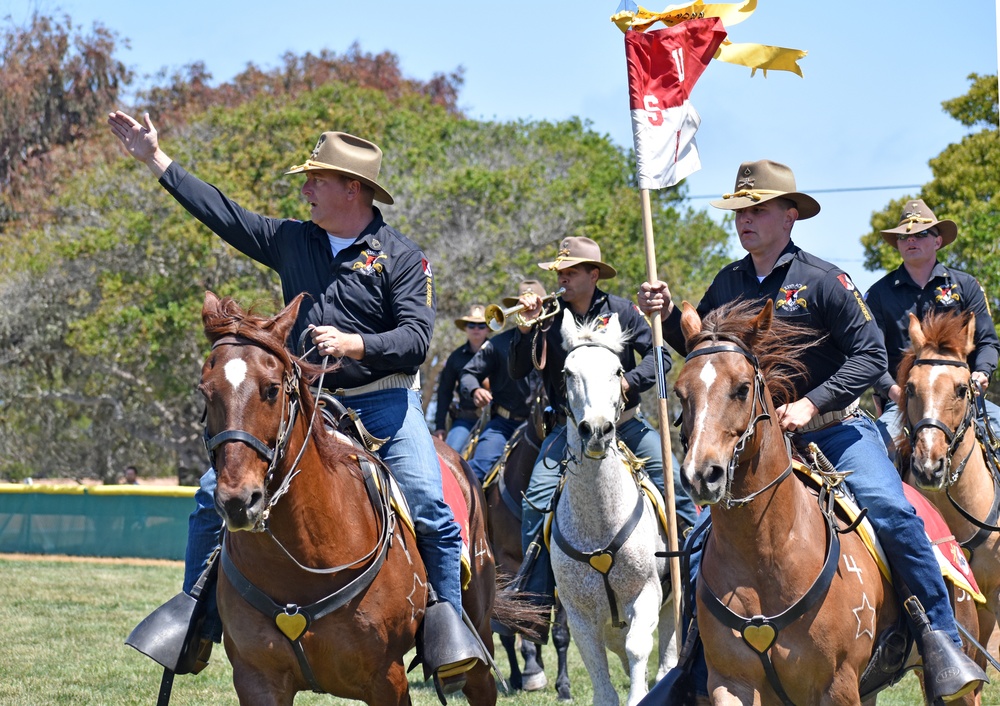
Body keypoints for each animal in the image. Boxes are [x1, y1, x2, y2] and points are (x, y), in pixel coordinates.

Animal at [200, 292, 504, 704]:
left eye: (272, 389)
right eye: (205, 391)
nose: (238, 500)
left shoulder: (386, 681)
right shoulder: (256, 679)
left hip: (479, 640)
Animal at [548, 312, 680, 704]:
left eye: (618, 370)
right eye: (567, 372)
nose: (596, 430)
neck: (599, 524)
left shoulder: (646, 594)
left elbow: (639, 648)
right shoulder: (578, 615)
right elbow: (599, 675)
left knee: (664, 658)